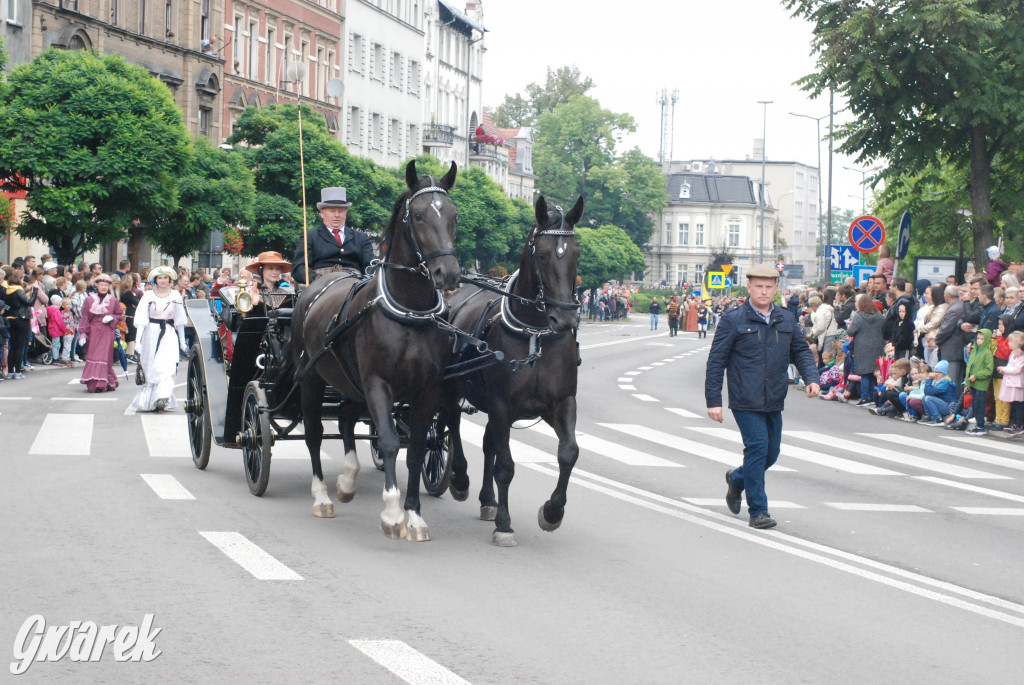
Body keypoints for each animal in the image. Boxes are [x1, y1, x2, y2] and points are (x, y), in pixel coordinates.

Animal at [292, 160, 460, 540]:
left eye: (453, 215)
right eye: (418, 215)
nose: (448, 274)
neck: (409, 312)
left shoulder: (427, 389)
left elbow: (416, 448)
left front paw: (414, 515)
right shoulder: (378, 384)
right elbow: (388, 440)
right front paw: (393, 513)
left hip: (350, 383)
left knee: (344, 419)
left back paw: (348, 480)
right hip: (311, 380)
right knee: (314, 432)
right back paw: (322, 496)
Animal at [442, 193, 585, 544]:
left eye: (576, 253)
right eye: (543, 255)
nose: (565, 320)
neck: (535, 334)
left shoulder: (562, 403)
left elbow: (568, 453)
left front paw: (552, 511)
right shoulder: (501, 405)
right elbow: (505, 465)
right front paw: (505, 525)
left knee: (486, 443)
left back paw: (487, 500)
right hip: (452, 389)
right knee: (451, 422)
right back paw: (460, 479)